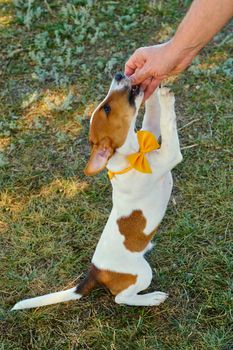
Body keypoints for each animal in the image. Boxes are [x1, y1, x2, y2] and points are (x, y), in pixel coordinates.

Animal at [11, 73, 182, 308]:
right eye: (107, 108)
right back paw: (151, 298)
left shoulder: (149, 131)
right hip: (142, 274)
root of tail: (95, 272)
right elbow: (168, 124)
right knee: (121, 298)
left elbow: (153, 114)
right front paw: (166, 97)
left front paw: (154, 86)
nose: (119, 74)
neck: (130, 157)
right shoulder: (169, 155)